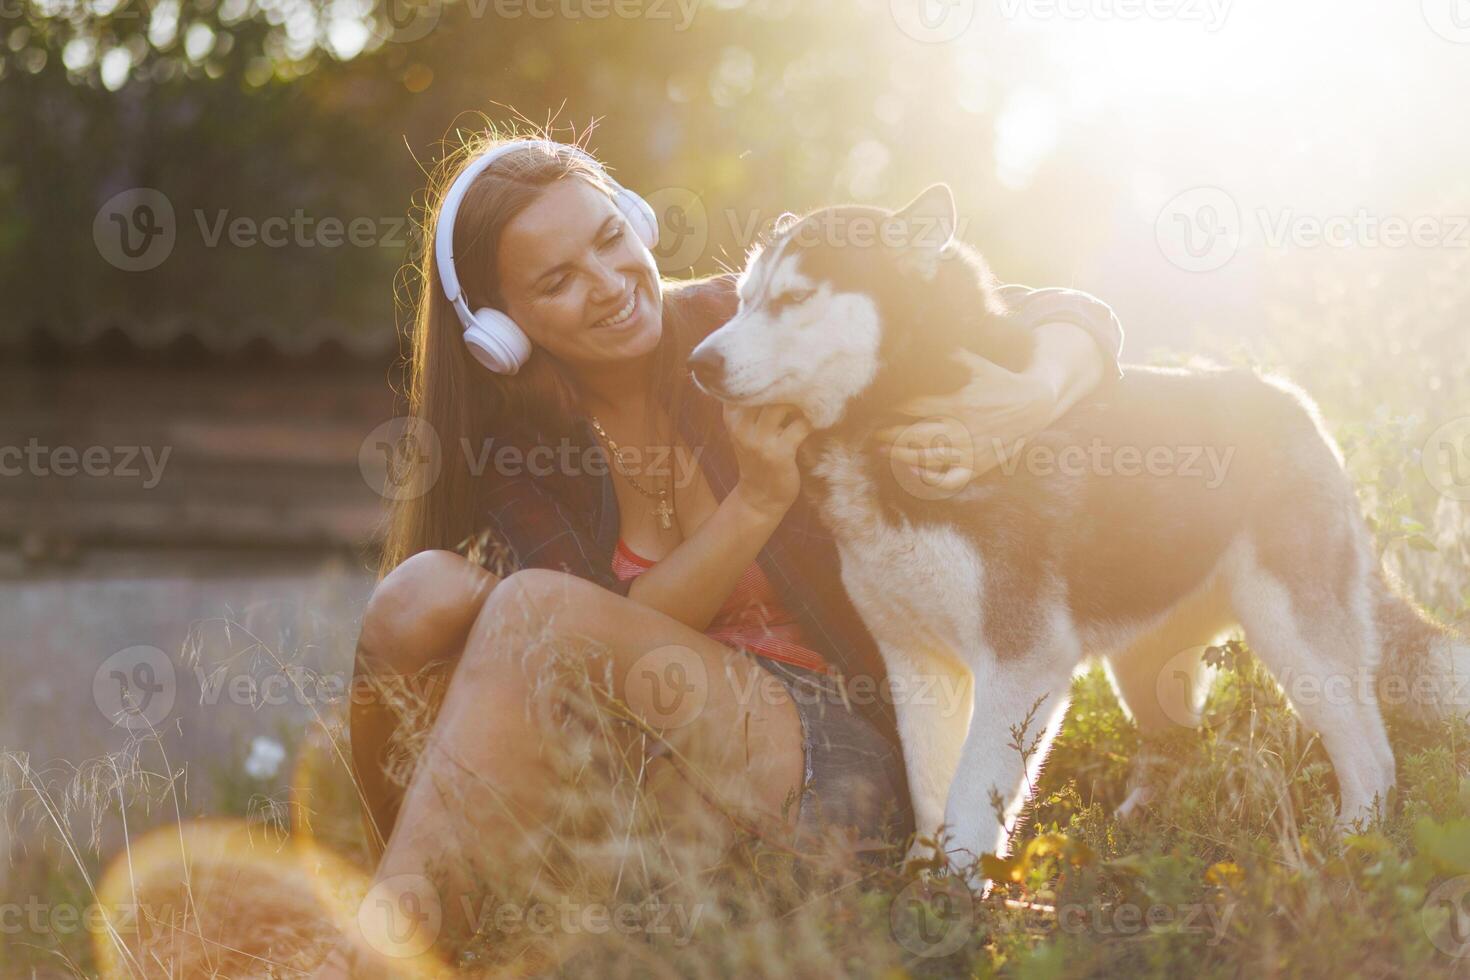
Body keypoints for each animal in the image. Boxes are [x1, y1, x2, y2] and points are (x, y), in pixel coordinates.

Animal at [687, 183, 1470, 875]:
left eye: (793, 298)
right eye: (743, 298)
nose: (700, 361)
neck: (888, 419)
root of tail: (1295, 401)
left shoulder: (1022, 660)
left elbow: (972, 797)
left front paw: (957, 895)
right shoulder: (916, 664)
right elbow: (932, 791)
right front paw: (920, 877)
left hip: (1295, 641)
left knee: (1372, 755)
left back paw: (1352, 847)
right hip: (1146, 665)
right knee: (1179, 747)